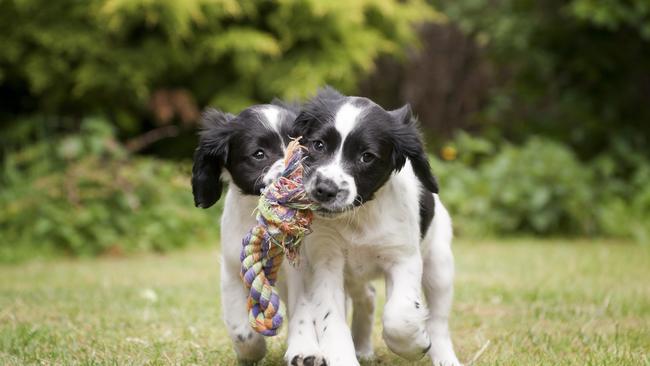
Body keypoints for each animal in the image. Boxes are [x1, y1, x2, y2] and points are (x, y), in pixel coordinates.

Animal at [284, 88, 460, 366]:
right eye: (318, 145)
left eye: (367, 157)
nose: (325, 190)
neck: (359, 216)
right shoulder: (325, 260)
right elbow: (331, 319)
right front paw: (343, 357)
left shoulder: (403, 258)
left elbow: (399, 316)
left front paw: (415, 343)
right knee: (366, 296)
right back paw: (363, 347)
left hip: (439, 264)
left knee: (439, 321)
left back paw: (444, 357)